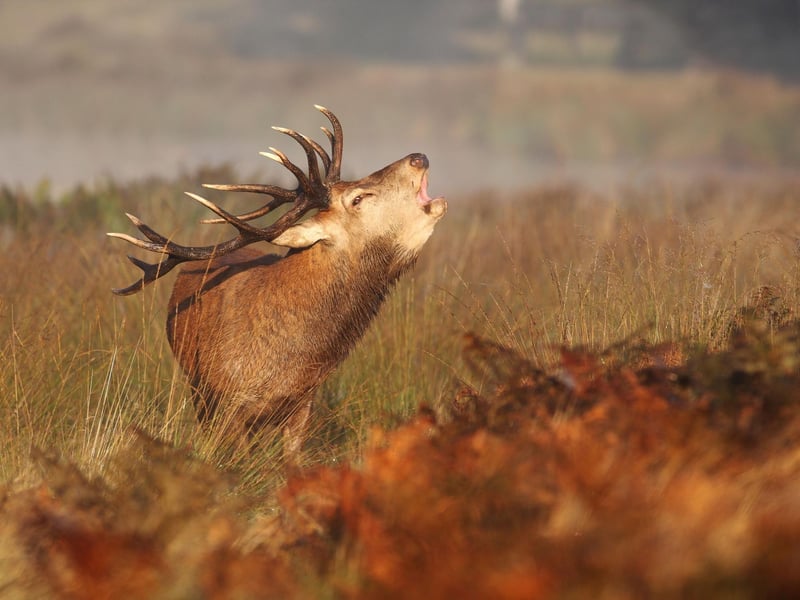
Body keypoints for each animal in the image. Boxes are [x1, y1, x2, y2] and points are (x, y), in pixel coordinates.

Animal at [108, 106, 447, 460]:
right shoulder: (228, 402)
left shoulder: (303, 404)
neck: (288, 365)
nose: (418, 157)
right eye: (357, 199)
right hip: (196, 389)